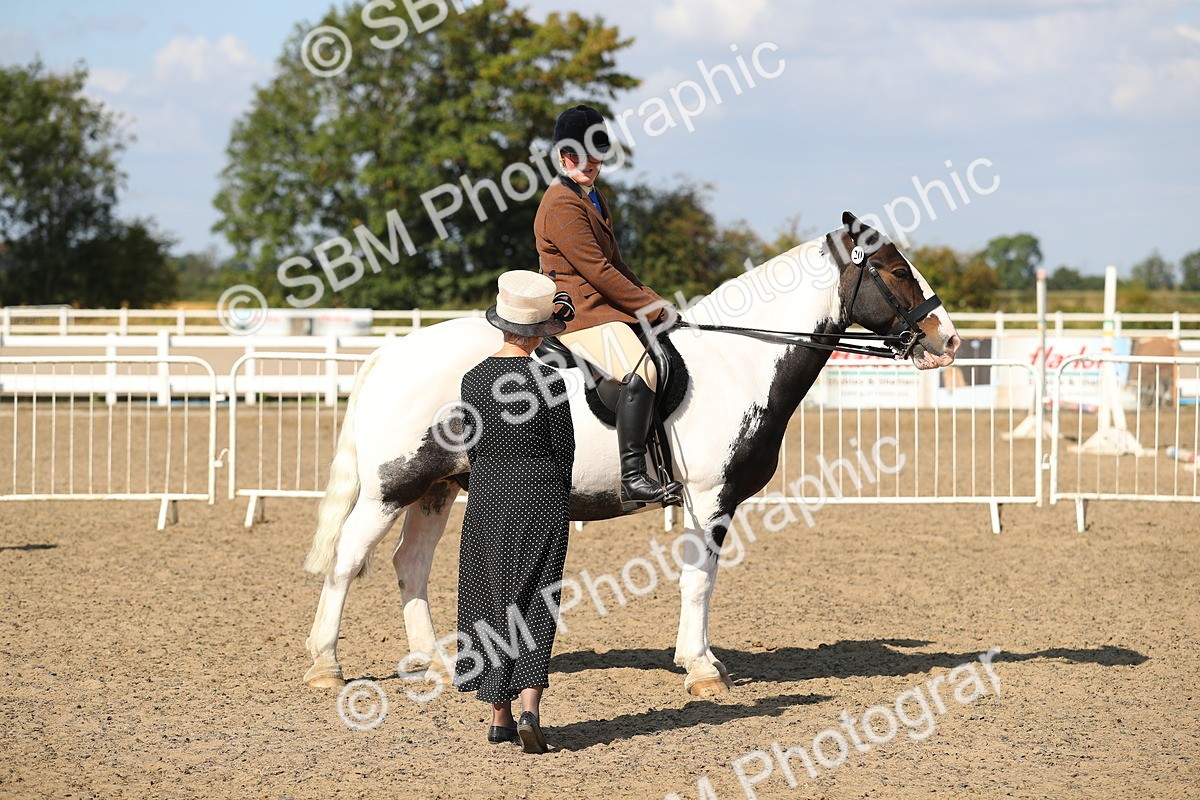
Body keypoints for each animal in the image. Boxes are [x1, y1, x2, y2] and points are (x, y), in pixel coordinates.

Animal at [301, 212, 962, 697]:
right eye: (895, 269)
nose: (948, 340)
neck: (740, 360)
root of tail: (390, 352)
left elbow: (699, 577)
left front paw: (697, 659)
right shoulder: (709, 496)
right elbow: (700, 580)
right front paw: (702, 669)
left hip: (434, 488)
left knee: (409, 564)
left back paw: (437, 663)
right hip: (392, 487)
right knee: (347, 560)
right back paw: (325, 665)